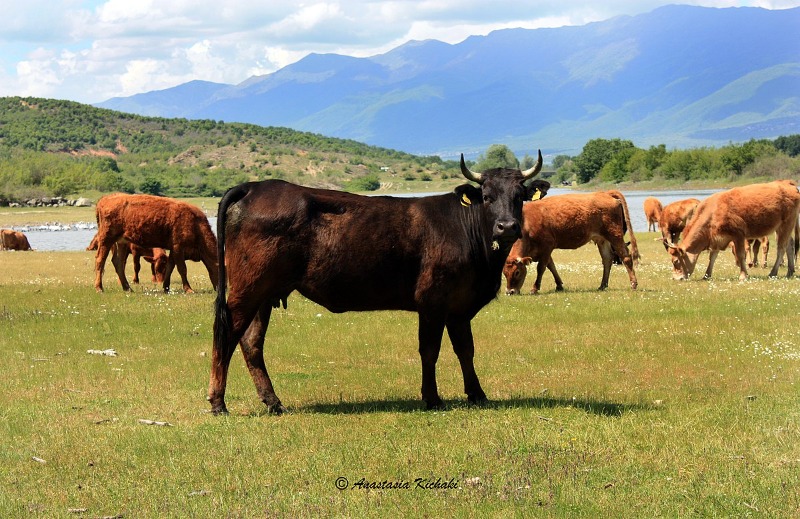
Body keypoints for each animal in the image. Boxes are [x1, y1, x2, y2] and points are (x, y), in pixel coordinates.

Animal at [208, 149, 544, 414]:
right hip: (247, 289)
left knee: (251, 342)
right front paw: (432, 398)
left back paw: (273, 401)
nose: (507, 226)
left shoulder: (459, 307)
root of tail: (254, 186)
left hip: (264, 293)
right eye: (486, 197)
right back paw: (218, 402)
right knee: (225, 334)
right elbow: (430, 350)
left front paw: (477, 394)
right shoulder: (432, 302)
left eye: (519, 197)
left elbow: (466, 349)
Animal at [504, 193, 640, 294]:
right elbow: (551, 266)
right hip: (602, 239)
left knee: (626, 257)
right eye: (504, 273)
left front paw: (535, 288)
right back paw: (602, 285)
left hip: (615, 235)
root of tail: (605, 193)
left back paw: (633, 284)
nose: (510, 292)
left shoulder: (547, 246)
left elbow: (541, 268)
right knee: (607, 259)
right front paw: (559, 286)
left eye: (517, 272)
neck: (528, 225)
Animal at [664, 181, 800, 282]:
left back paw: (773, 272)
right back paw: (790, 271)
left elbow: (740, 255)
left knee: (781, 248)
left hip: (787, 224)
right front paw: (706, 275)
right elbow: (712, 257)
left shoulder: (738, 235)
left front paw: (743, 276)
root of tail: (788, 184)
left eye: (675, 261)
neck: (712, 212)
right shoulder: (716, 239)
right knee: (790, 244)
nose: (676, 278)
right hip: (781, 227)